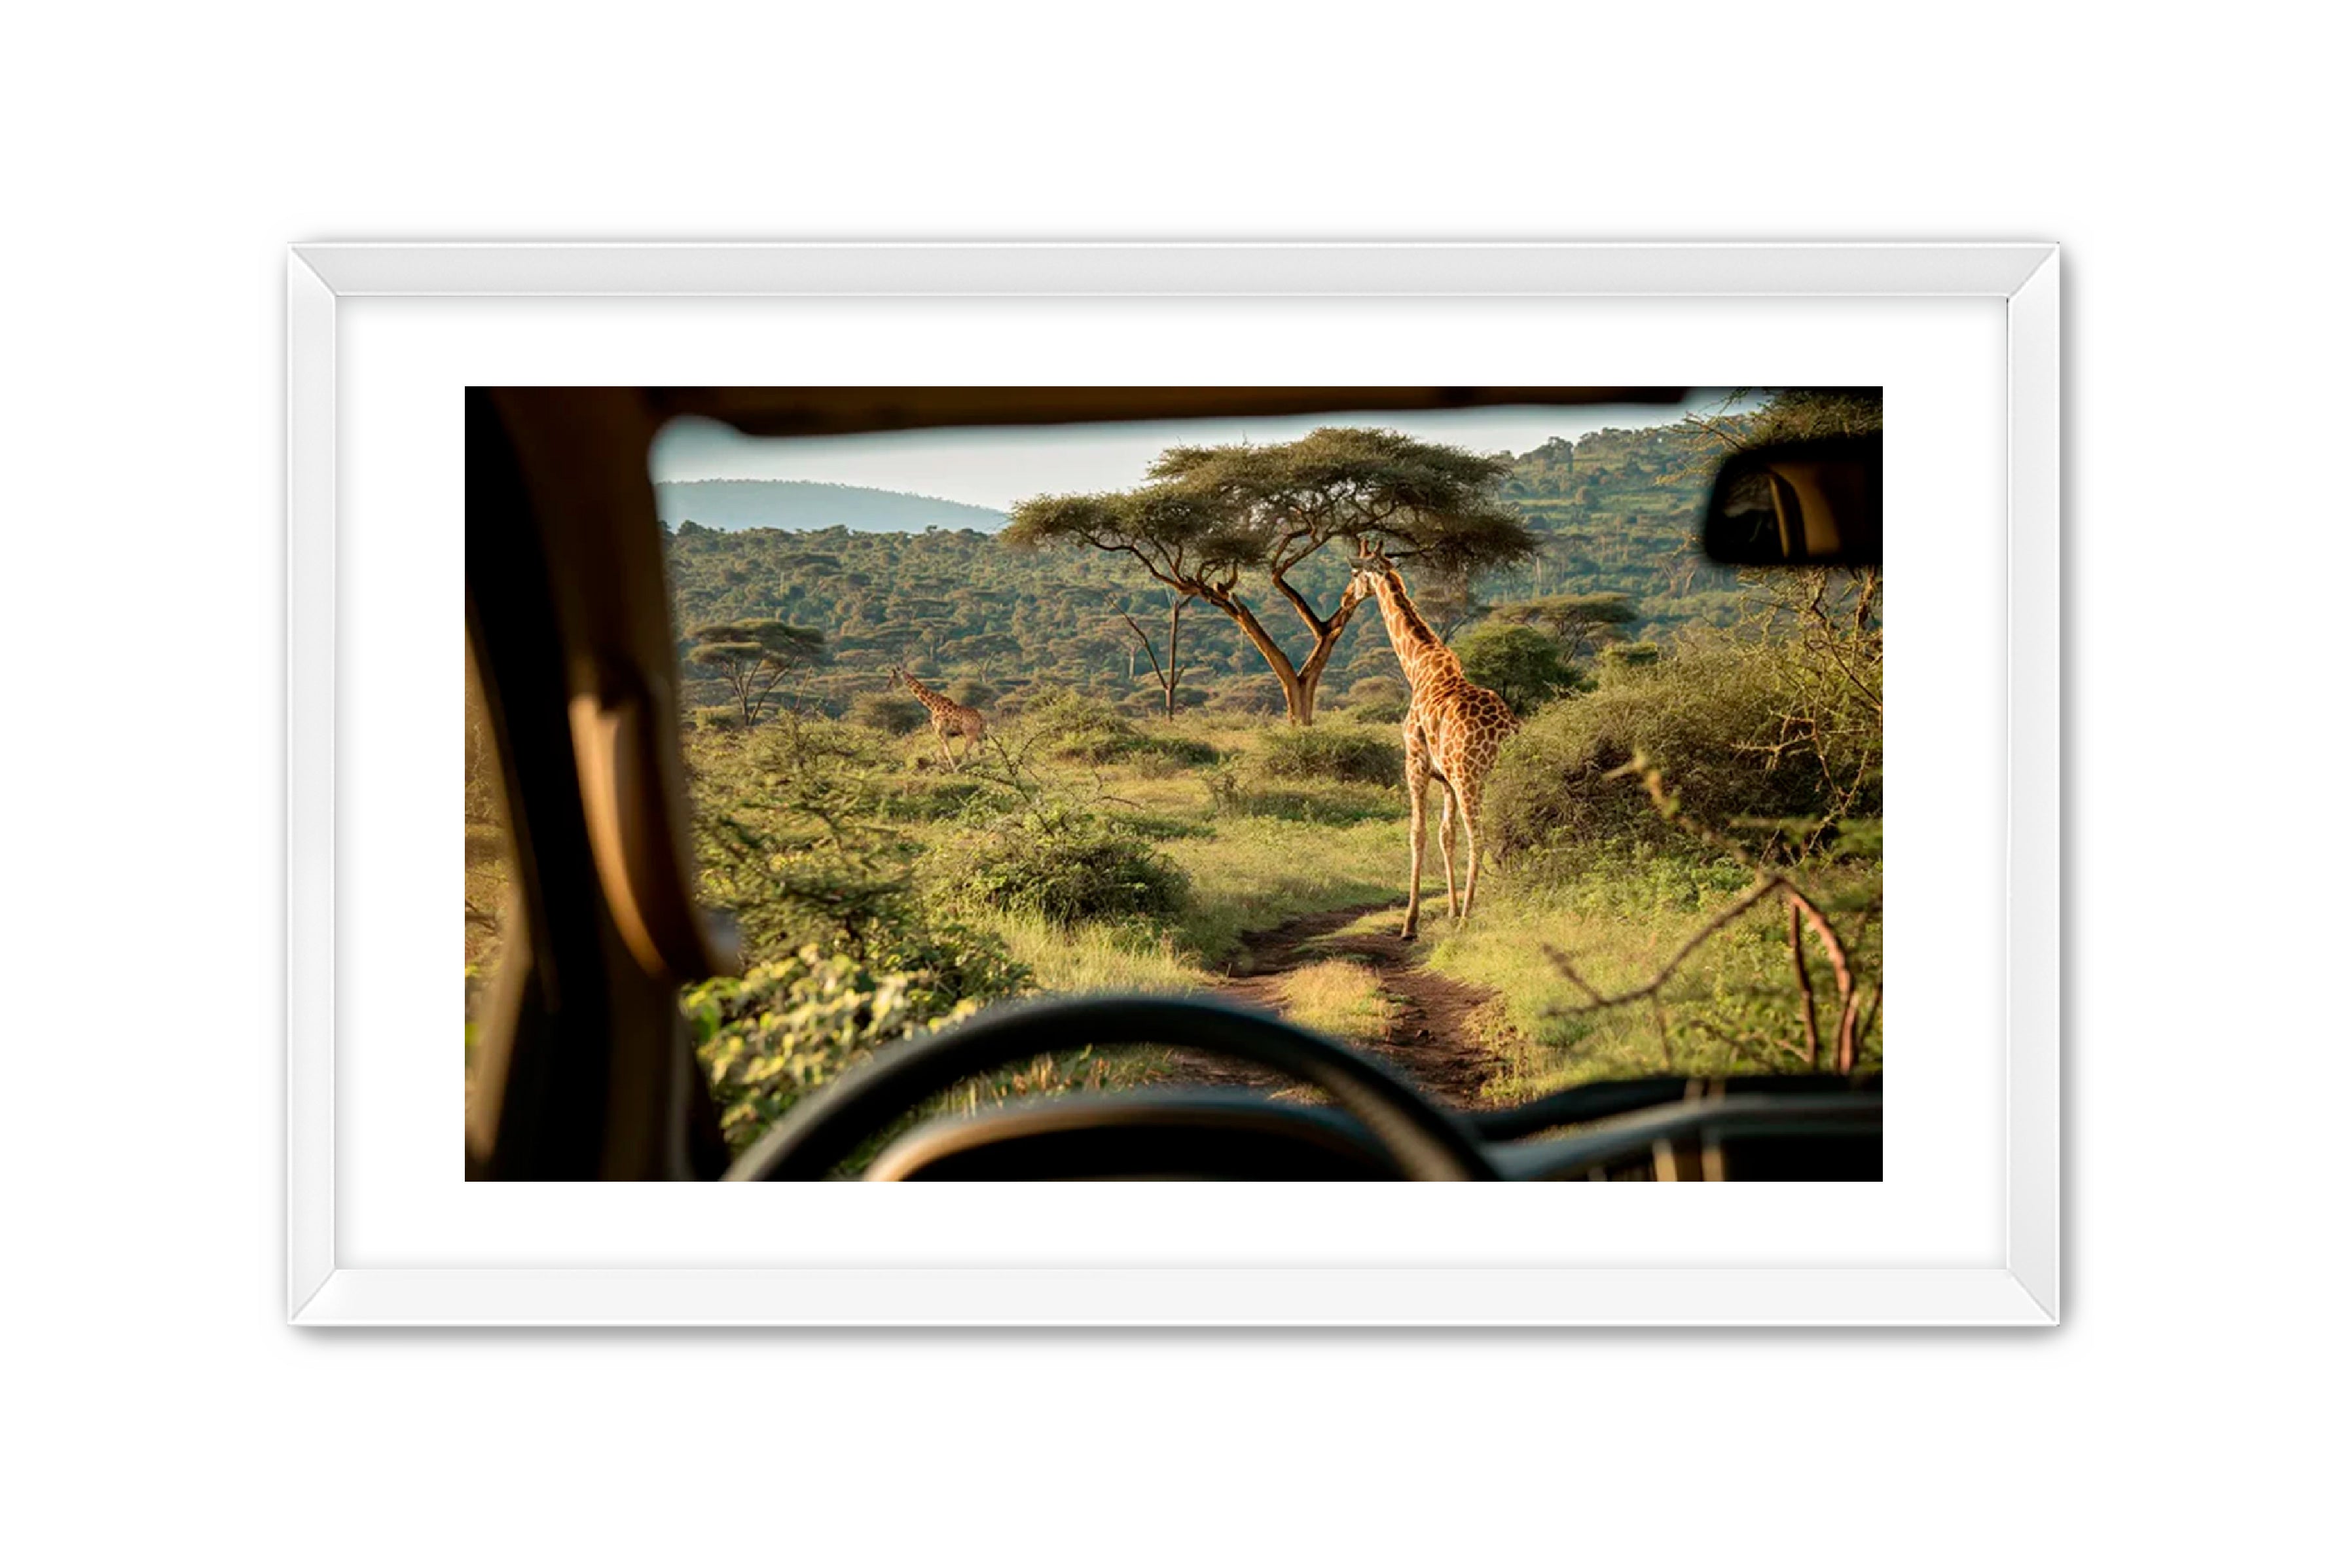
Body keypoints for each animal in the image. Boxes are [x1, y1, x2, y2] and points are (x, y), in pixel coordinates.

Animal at [882, 666, 985, 775]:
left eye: (894, 676)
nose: (888, 686)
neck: (932, 705)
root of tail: (981, 719)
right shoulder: (945, 734)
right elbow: (943, 751)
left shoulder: (940, 732)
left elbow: (947, 752)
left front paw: (954, 770)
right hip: (979, 734)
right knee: (981, 750)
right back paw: (980, 767)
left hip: (970, 733)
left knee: (968, 750)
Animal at [1361, 544, 1521, 939]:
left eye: (1355, 574)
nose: (1347, 597)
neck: (1419, 666)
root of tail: (1508, 731)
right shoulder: (1445, 779)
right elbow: (1445, 835)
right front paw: (1448, 910)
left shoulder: (1416, 764)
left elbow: (1417, 833)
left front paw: (1411, 922)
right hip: (1497, 779)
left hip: (1471, 779)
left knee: (1479, 837)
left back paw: (1468, 917)